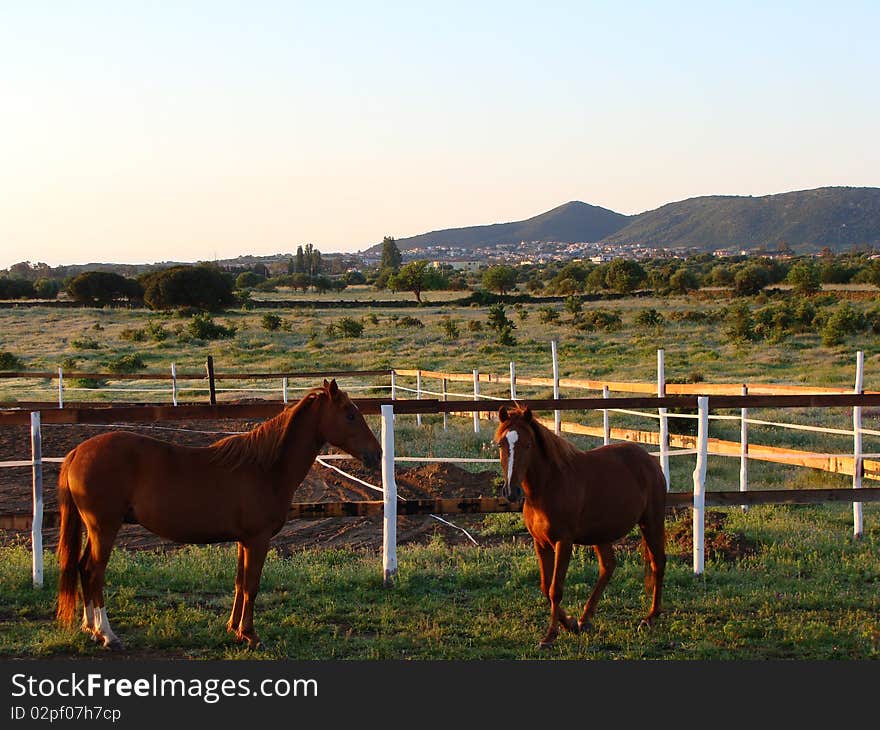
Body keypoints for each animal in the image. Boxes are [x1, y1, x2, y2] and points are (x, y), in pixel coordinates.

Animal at [56, 378, 380, 644]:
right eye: (350, 415)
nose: (376, 454)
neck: (265, 468)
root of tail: (77, 452)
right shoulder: (258, 539)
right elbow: (252, 585)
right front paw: (250, 634)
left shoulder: (243, 541)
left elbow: (239, 583)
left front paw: (234, 628)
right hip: (104, 528)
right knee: (94, 572)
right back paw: (107, 634)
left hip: (95, 529)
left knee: (83, 568)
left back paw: (90, 628)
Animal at [496, 404, 668, 648]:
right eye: (501, 444)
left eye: (528, 444)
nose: (511, 492)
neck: (548, 487)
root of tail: (651, 461)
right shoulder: (540, 543)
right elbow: (545, 587)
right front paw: (569, 624)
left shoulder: (564, 542)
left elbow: (555, 589)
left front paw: (550, 636)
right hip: (601, 533)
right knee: (608, 566)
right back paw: (585, 619)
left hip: (651, 521)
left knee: (658, 563)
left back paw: (650, 617)